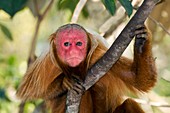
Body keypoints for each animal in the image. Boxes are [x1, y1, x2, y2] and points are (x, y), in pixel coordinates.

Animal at [16, 23, 157, 112]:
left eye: (79, 44)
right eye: (66, 44)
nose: (73, 52)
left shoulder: (102, 55)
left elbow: (139, 80)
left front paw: (141, 42)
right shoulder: (48, 63)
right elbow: (27, 92)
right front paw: (65, 82)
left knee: (129, 104)